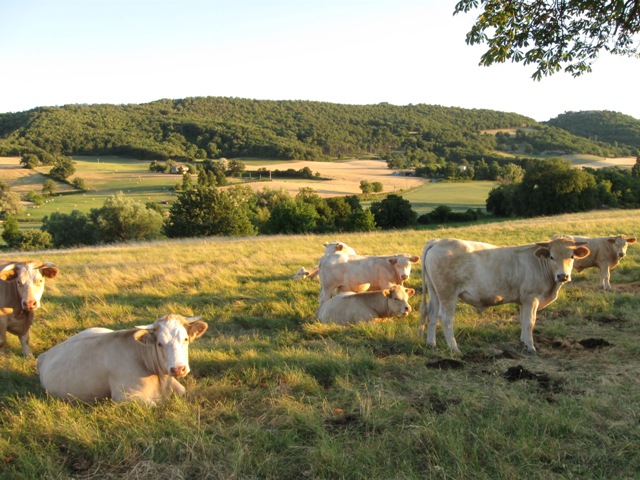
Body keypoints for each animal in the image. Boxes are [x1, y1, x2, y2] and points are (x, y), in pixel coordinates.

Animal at [37, 314, 208, 404]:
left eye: (185, 339)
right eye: (160, 343)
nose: (178, 368)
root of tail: (46, 353)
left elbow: (184, 391)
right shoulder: (123, 397)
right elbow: (155, 404)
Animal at [420, 236, 592, 352]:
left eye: (571, 256)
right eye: (551, 256)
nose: (562, 276)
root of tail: (438, 241)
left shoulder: (523, 300)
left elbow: (523, 320)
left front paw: (523, 341)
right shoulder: (531, 298)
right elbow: (530, 322)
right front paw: (531, 347)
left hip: (434, 291)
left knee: (432, 314)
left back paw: (431, 344)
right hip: (448, 293)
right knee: (445, 318)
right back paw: (454, 348)